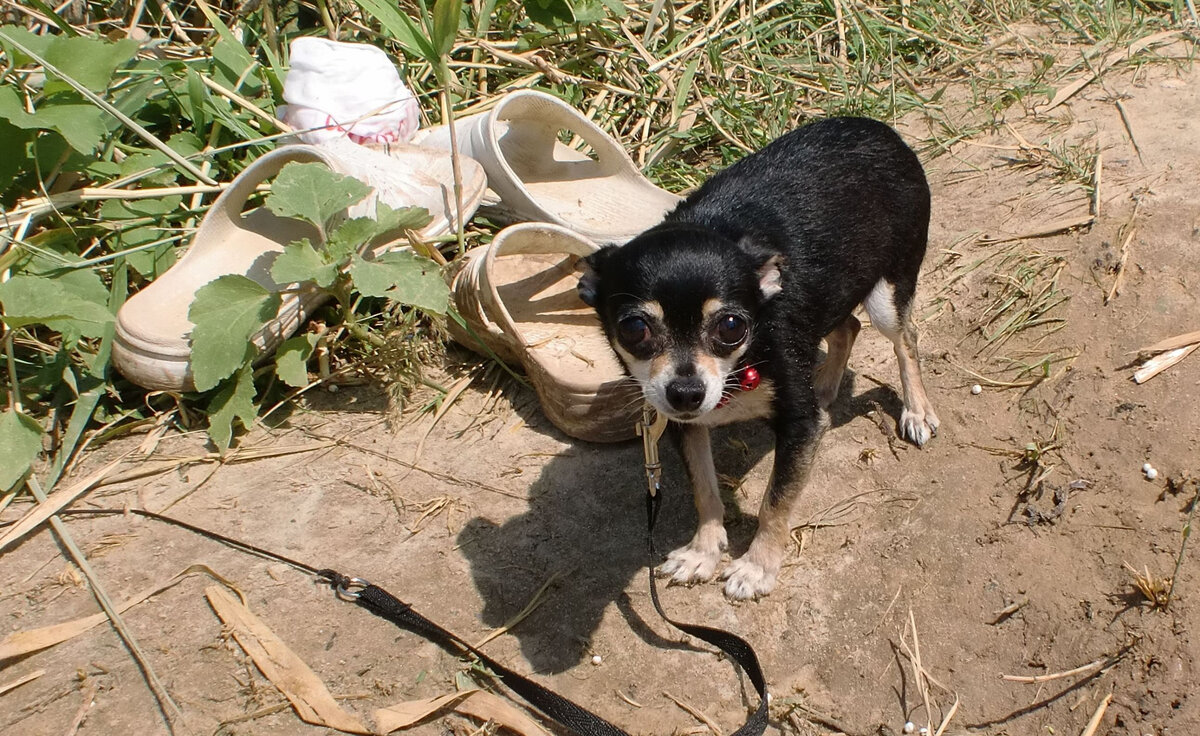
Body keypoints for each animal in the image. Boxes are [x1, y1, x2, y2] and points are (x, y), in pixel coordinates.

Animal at [576, 114, 940, 597]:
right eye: (635, 329)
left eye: (731, 327)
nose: (685, 393)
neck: (743, 364)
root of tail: (878, 128)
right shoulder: (684, 424)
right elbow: (704, 489)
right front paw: (703, 551)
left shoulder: (799, 425)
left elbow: (774, 502)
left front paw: (757, 566)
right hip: (829, 294)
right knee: (849, 327)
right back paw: (824, 384)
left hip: (887, 295)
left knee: (905, 339)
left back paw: (916, 410)